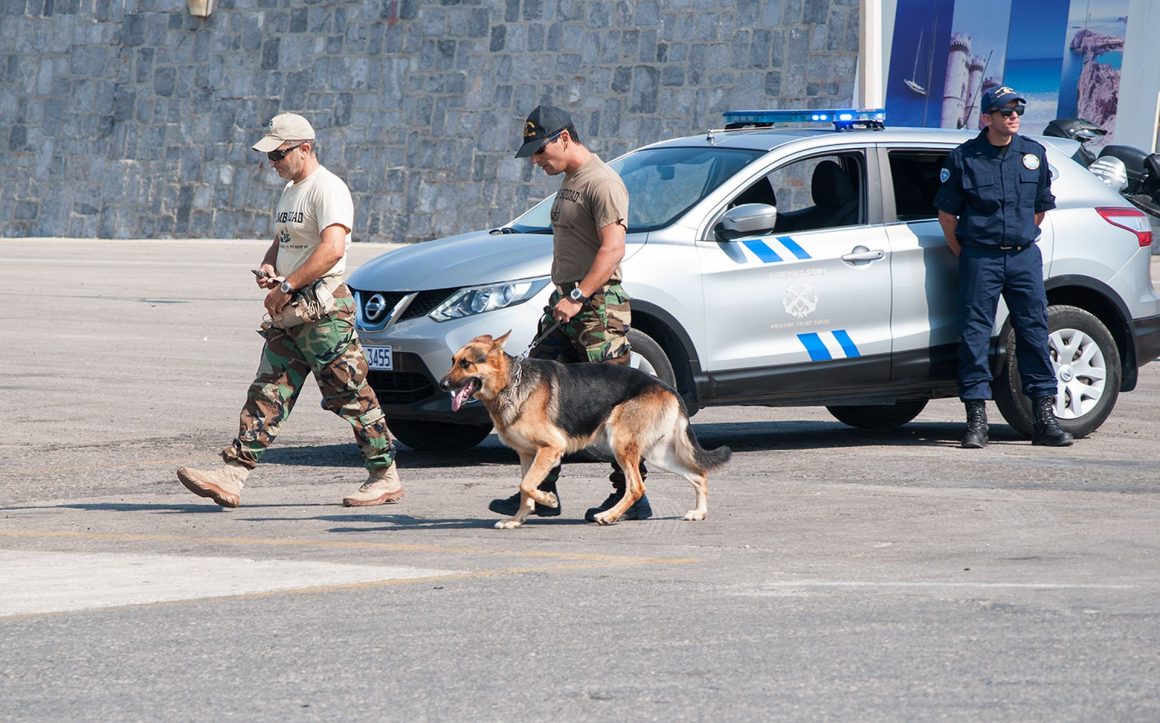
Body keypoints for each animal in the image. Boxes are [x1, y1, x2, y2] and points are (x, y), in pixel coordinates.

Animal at [438, 334, 728, 531]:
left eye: (466, 364)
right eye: (452, 361)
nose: (442, 385)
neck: (511, 383)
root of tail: (667, 387)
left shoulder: (551, 448)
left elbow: (527, 485)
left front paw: (548, 500)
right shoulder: (527, 455)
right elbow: (524, 491)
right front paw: (517, 520)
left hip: (621, 444)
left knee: (636, 486)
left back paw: (609, 516)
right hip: (658, 453)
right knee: (698, 475)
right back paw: (698, 513)